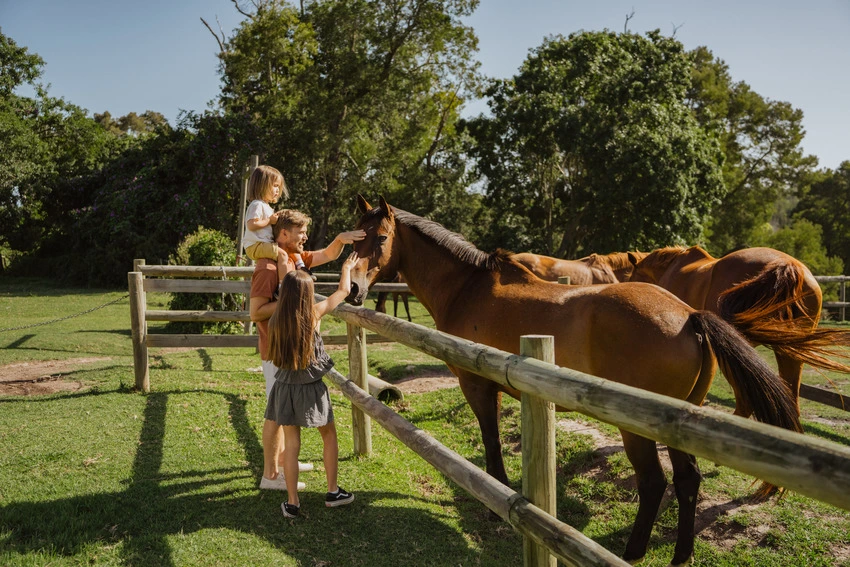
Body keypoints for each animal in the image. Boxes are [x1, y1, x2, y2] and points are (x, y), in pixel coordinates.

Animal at [345, 196, 801, 566]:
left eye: (381, 237)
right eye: (352, 240)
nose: (352, 289)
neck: (467, 288)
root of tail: (690, 316)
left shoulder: (478, 386)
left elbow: (492, 443)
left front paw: (494, 505)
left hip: (638, 430)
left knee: (653, 482)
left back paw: (632, 552)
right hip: (680, 425)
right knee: (687, 480)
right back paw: (680, 556)